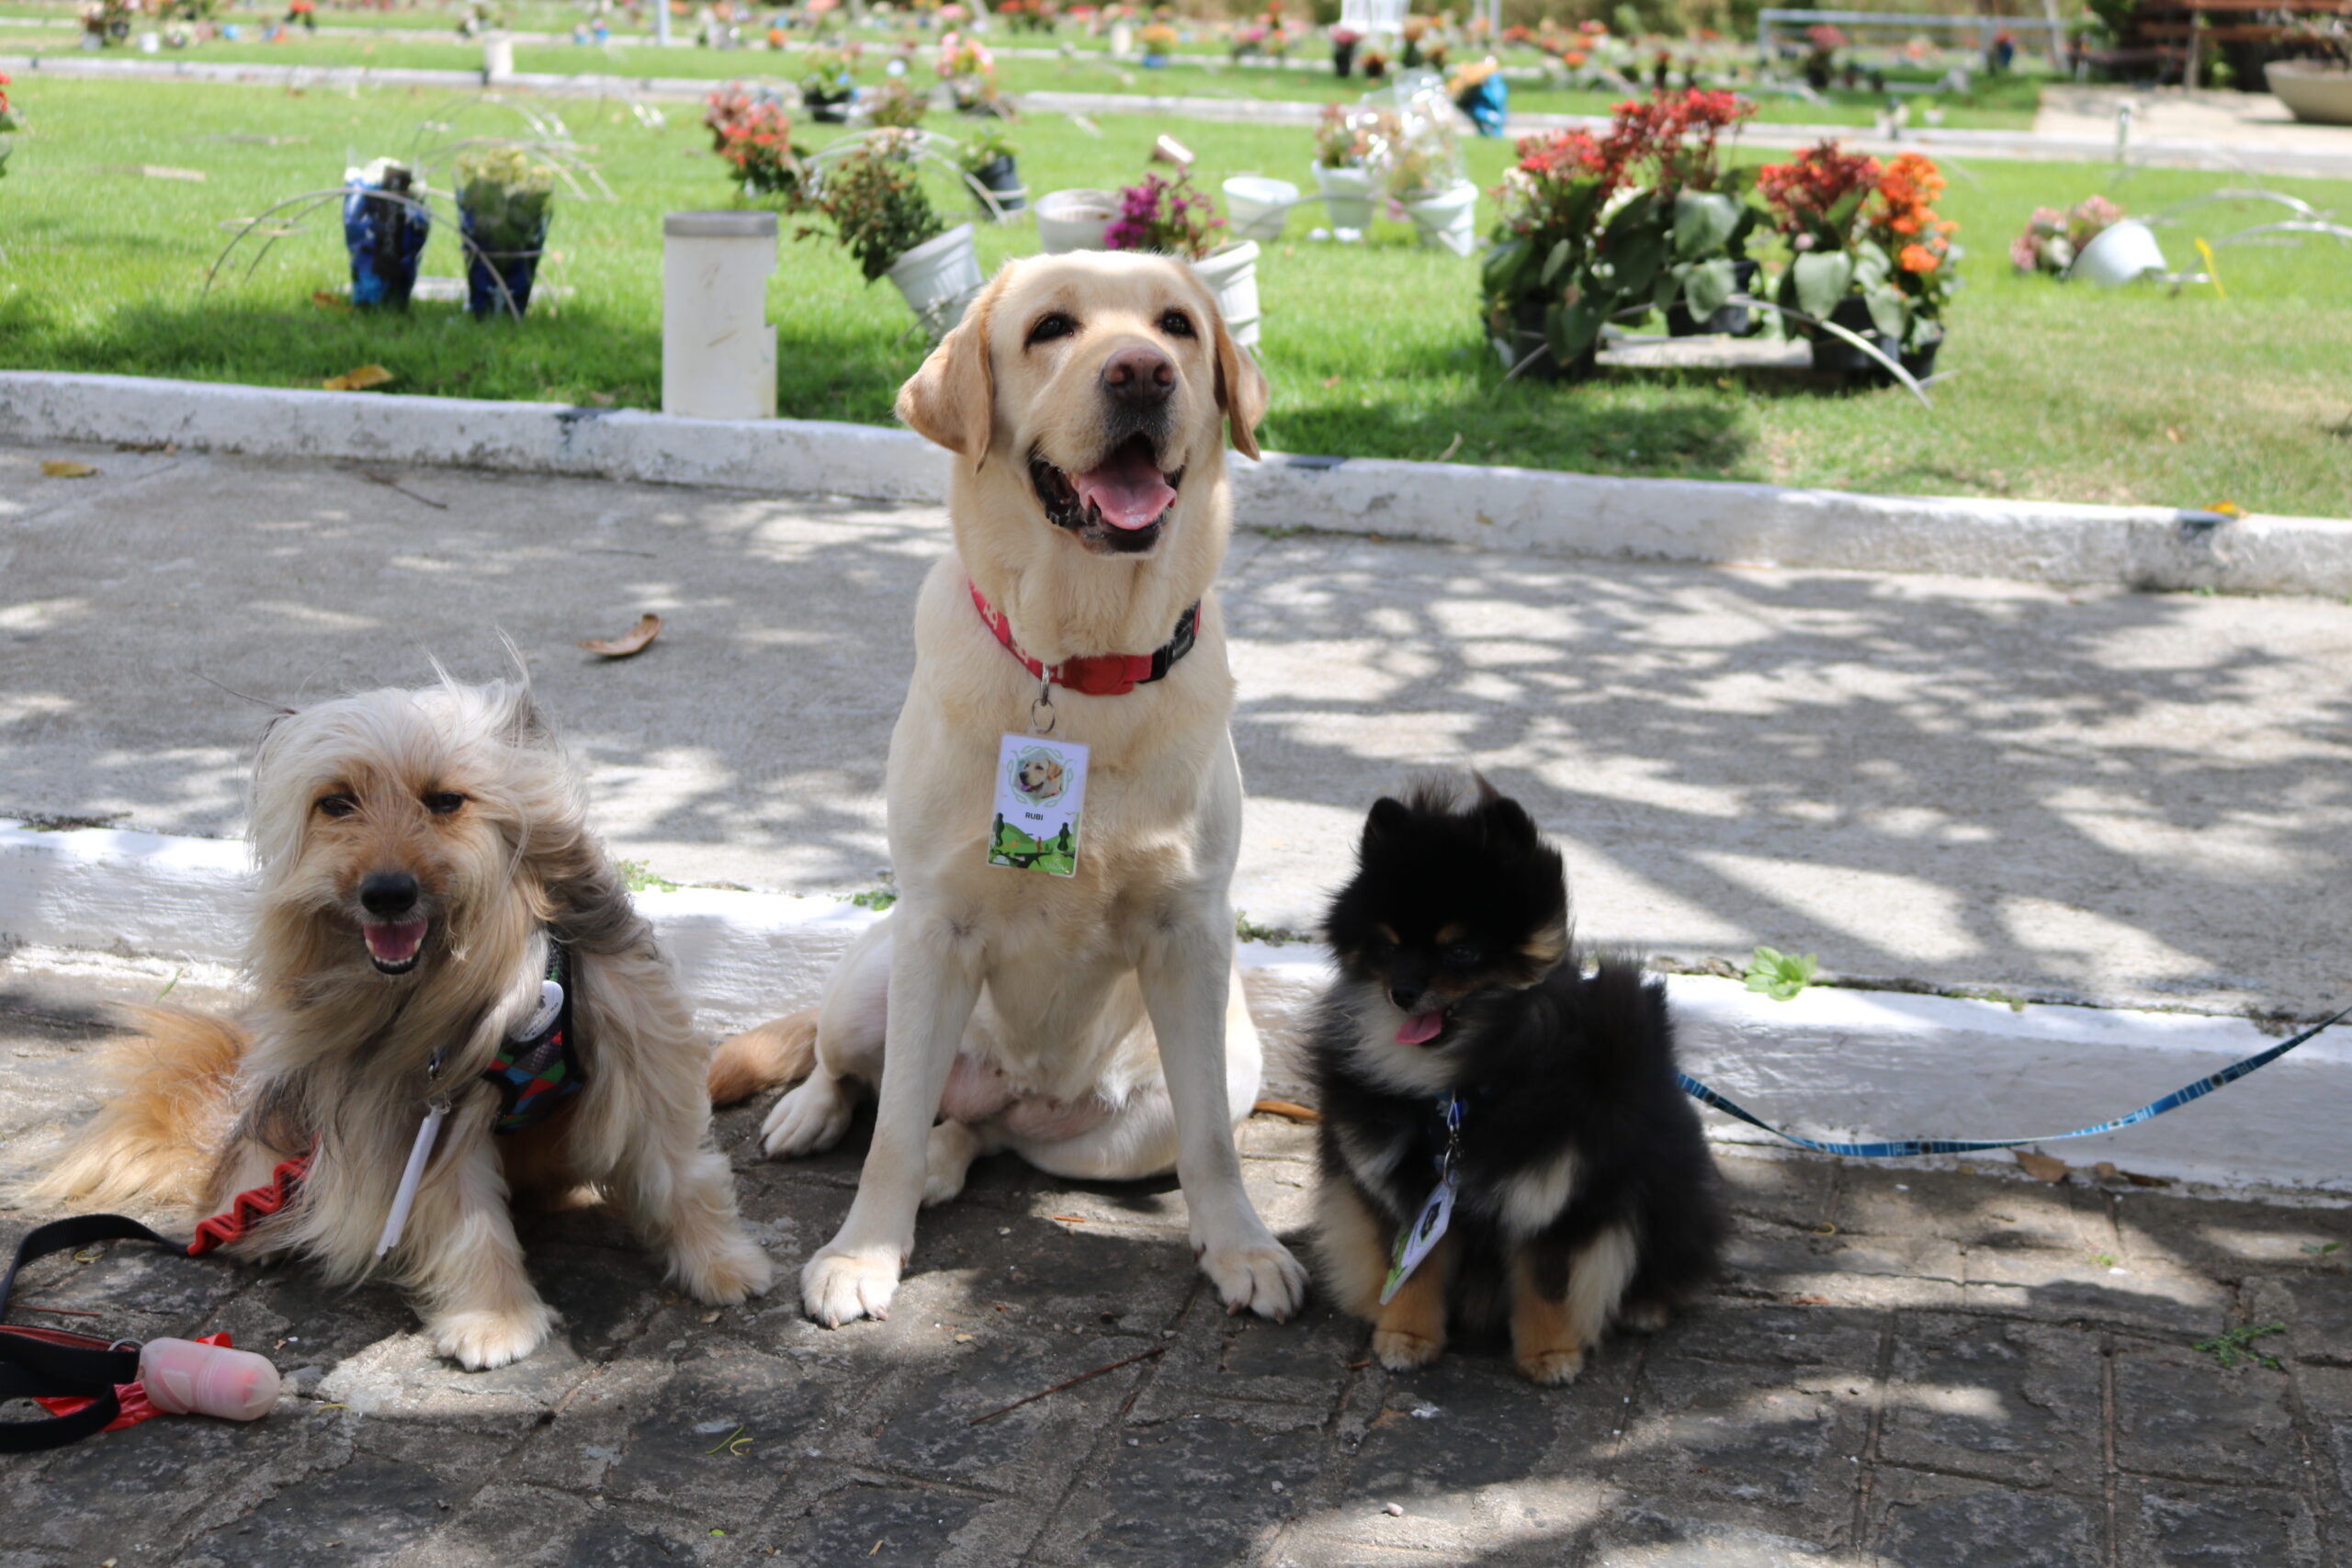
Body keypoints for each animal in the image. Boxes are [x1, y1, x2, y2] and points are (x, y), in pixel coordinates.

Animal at [34, 682, 771, 1363]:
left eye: (444, 800)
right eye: (336, 803)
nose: (386, 894)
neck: (497, 976)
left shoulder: (641, 1046)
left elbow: (680, 1173)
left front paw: (720, 1262)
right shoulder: (411, 1116)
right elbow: (464, 1218)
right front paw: (495, 1320)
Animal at [715, 251, 1307, 1335]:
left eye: (1176, 324)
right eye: (1050, 329)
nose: (1143, 373)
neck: (1080, 668)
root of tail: (1015, 1087)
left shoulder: (1192, 937)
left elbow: (1212, 1140)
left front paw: (1242, 1247)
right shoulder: (936, 929)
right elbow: (890, 1130)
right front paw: (861, 1255)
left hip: (1145, 1117)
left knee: (986, 1136)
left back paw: (956, 1159)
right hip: (875, 979)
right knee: (859, 1072)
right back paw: (812, 1111)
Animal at [1307, 780, 1731, 1382]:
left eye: (1460, 950)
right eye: (1388, 947)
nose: (1402, 993)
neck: (1460, 1093)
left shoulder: (1558, 1193)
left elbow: (1549, 1284)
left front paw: (1551, 1354)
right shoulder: (1404, 1188)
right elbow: (1411, 1268)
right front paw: (1406, 1336)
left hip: (1667, 1185)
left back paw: (1646, 1306)